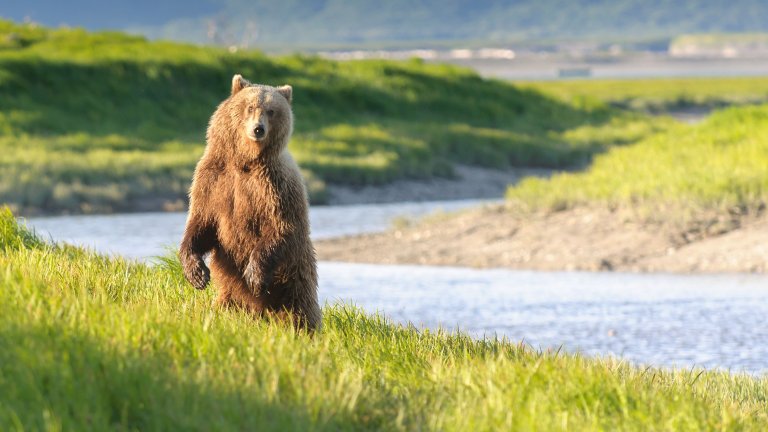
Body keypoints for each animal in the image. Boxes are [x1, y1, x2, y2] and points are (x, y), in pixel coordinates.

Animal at [180, 74, 320, 330]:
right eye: (251, 107)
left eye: (272, 111)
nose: (258, 128)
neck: (245, 161)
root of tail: (261, 312)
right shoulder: (214, 179)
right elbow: (201, 222)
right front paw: (197, 273)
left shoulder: (274, 186)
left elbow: (280, 225)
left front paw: (254, 275)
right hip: (232, 292)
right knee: (226, 305)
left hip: (295, 274)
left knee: (299, 309)